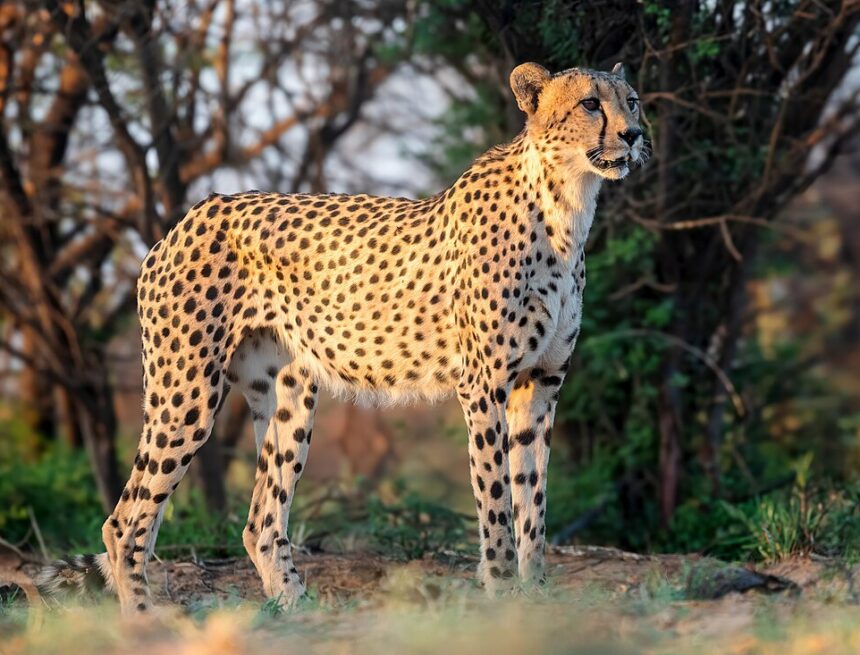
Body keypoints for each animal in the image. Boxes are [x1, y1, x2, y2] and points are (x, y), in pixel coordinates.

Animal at [36, 61, 645, 614]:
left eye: (632, 101)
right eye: (591, 104)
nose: (635, 135)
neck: (566, 205)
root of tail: (190, 215)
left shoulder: (540, 385)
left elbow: (533, 501)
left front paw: (536, 596)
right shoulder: (485, 386)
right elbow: (497, 501)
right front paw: (499, 596)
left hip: (289, 396)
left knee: (260, 521)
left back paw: (298, 612)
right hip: (186, 392)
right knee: (124, 521)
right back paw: (145, 619)